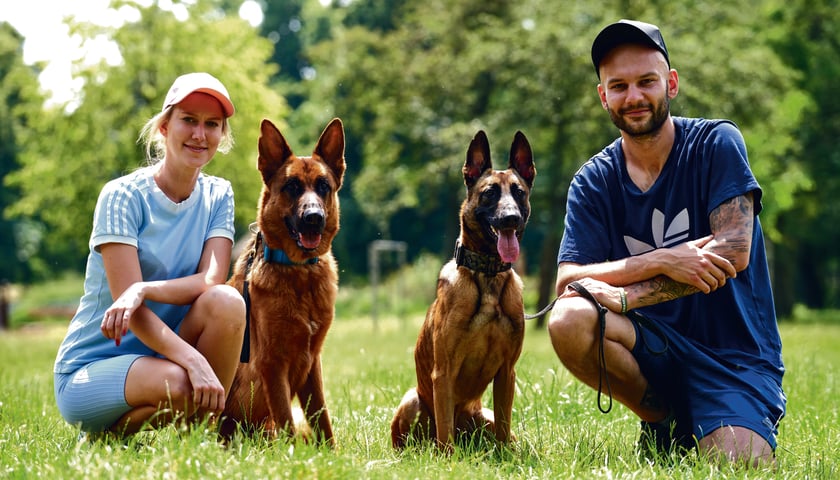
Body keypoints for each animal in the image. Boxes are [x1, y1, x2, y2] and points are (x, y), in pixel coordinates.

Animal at [221, 117, 346, 446]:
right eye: (292, 187)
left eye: (323, 186)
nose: (314, 217)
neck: (300, 273)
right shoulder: (272, 364)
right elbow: (286, 419)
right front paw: (294, 455)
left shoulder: (313, 363)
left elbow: (323, 420)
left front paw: (331, 454)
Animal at [390, 128, 536, 450]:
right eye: (489, 192)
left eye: (519, 192)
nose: (511, 218)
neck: (488, 274)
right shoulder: (443, 372)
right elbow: (444, 430)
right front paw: (449, 457)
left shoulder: (507, 371)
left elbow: (505, 425)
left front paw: (506, 456)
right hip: (412, 401)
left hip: (485, 416)